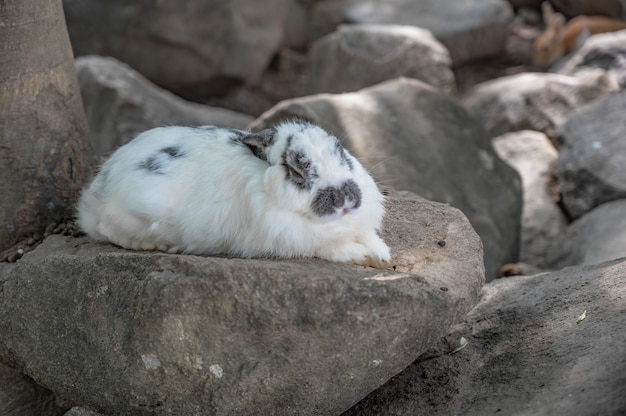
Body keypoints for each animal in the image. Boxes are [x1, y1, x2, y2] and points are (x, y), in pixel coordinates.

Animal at [77, 119, 390, 270]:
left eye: (341, 151)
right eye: (295, 169)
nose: (344, 199)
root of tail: (94, 196)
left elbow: (369, 237)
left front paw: (382, 255)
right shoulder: (300, 241)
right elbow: (335, 248)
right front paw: (363, 257)